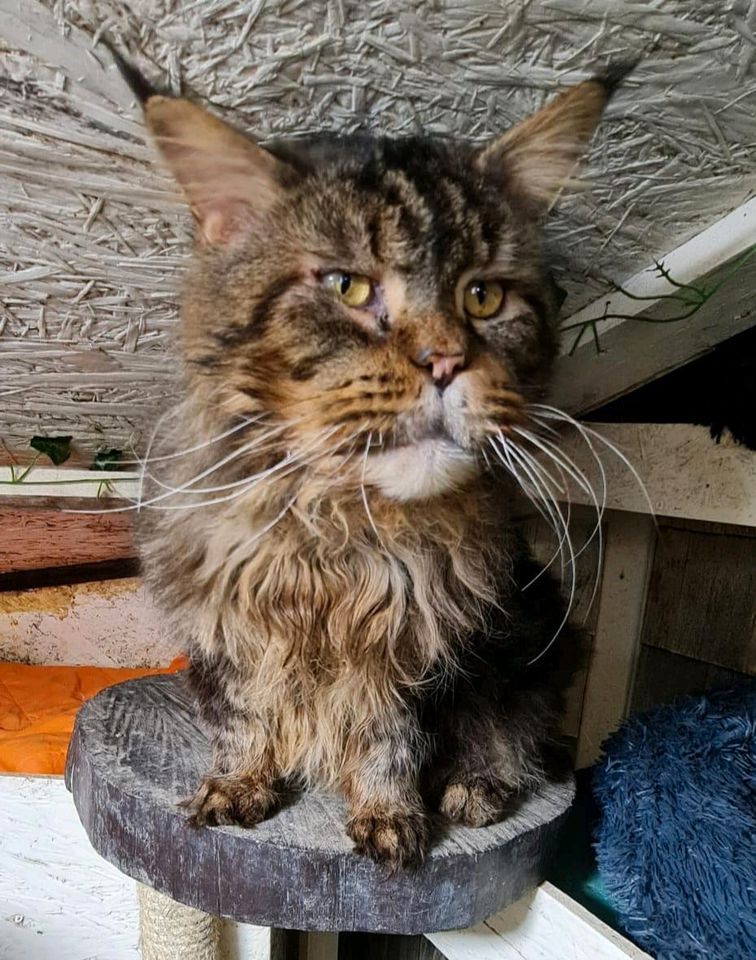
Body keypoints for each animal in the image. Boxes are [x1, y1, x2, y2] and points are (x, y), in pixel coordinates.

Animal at [119, 52, 632, 872]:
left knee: (518, 743)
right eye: (348, 286)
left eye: (482, 297)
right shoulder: (225, 632)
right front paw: (238, 788)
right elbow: (243, 725)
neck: (332, 536)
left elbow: (391, 747)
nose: (446, 360)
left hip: (532, 636)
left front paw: (391, 821)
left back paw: (477, 789)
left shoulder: (424, 648)